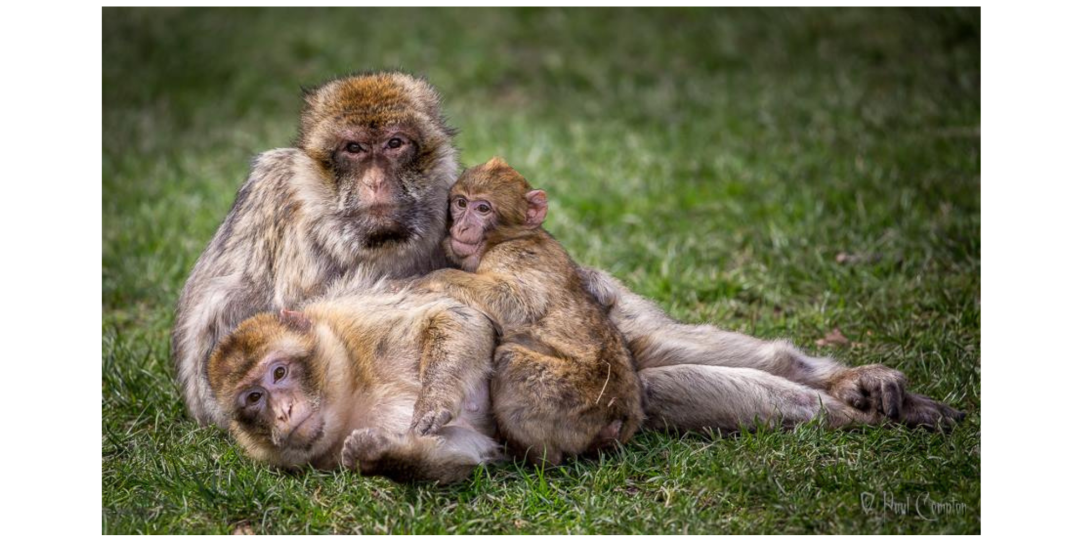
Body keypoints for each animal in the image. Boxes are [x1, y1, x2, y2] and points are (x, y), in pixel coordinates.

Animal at [206, 287, 501, 484]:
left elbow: (454, 315)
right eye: (254, 397)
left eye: (279, 372)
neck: (353, 391)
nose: (284, 412)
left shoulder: (361, 320)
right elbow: (467, 447)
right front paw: (377, 455)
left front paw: (433, 400)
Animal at [413, 157, 644, 465]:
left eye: (483, 208)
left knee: (510, 357)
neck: (508, 238)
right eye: (461, 203)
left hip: (574, 399)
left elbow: (519, 304)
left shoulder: (511, 256)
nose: (461, 227)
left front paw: (428, 278)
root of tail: (623, 417)